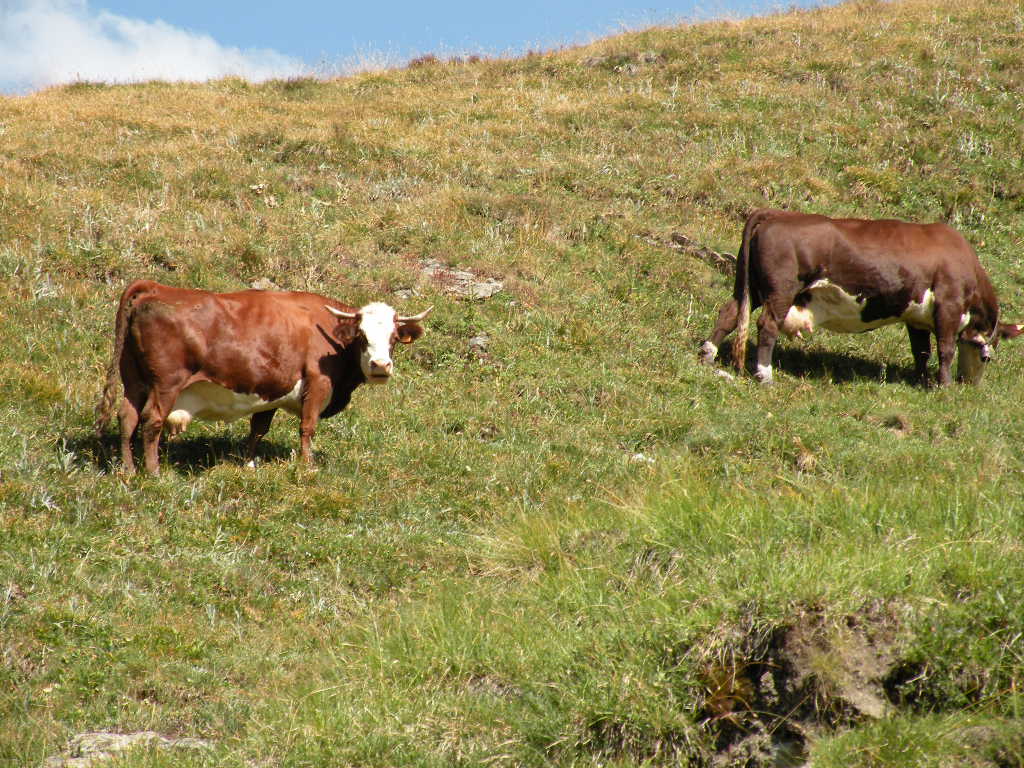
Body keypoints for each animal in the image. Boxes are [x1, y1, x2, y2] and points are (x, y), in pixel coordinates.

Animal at [94, 280, 430, 474]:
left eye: (394, 338)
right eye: (361, 336)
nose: (380, 365)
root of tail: (155, 288)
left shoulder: (272, 390)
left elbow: (258, 429)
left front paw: (249, 463)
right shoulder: (318, 384)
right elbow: (307, 427)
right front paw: (307, 467)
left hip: (134, 380)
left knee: (127, 417)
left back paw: (128, 470)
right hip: (166, 384)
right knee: (152, 421)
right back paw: (153, 473)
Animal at [699, 209, 1021, 386]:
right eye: (987, 356)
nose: (970, 384)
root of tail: (778, 213)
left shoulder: (916, 316)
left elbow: (921, 351)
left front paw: (922, 380)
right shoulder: (948, 307)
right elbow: (945, 349)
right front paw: (945, 385)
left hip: (751, 287)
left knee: (729, 313)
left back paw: (707, 355)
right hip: (781, 290)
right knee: (767, 325)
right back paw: (764, 374)